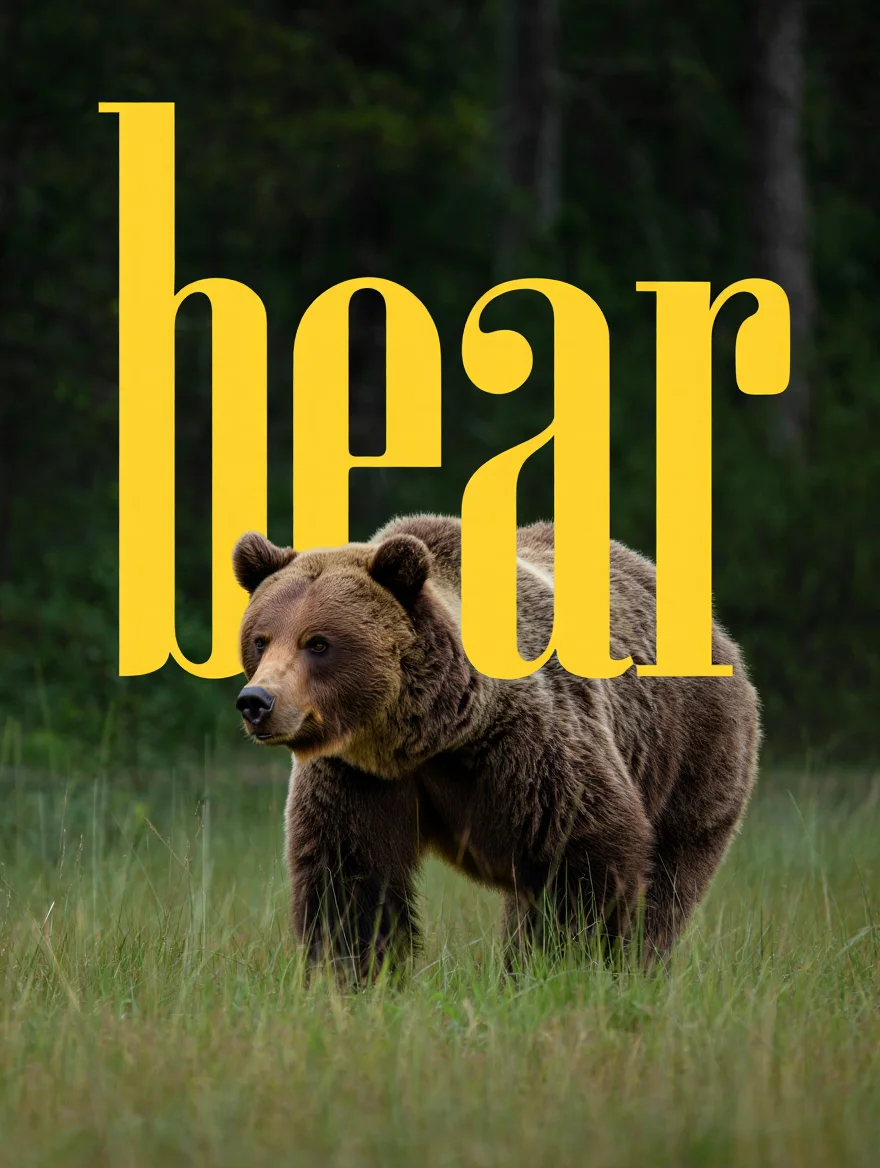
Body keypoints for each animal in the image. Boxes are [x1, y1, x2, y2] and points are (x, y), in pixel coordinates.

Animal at [232, 514, 760, 978]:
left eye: (318, 642)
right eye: (260, 639)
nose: (257, 702)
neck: (425, 738)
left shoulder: (529, 750)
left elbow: (583, 859)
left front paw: (564, 965)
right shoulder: (357, 776)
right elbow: (348, 877)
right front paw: (355, 976)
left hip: (692, 750)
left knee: (668, 882)